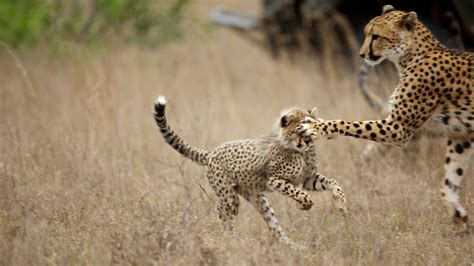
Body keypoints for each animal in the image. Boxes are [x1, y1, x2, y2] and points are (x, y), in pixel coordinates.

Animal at [154, 95, 346, 245]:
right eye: (298, 130)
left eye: (310, 129)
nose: (306, 141)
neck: (301, 151)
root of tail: (213, 152)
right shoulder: (274, 180)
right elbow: (301, 193)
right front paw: (304, 204)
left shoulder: (307, 179)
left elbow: (332, 182)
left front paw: (341, 201)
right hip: (229, 196)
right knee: (222, 208)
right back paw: (228, 236)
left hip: (258, 198)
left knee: (273, 225)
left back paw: (292, 246)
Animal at [300, 5, 470, 227]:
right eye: (366, 34)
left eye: (376, 36)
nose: (361, 54)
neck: (409, 56)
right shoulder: (461, 136)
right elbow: (451, 175)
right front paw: (457, 212)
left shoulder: (399, 128)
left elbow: (351, 124)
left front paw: (318, 127)